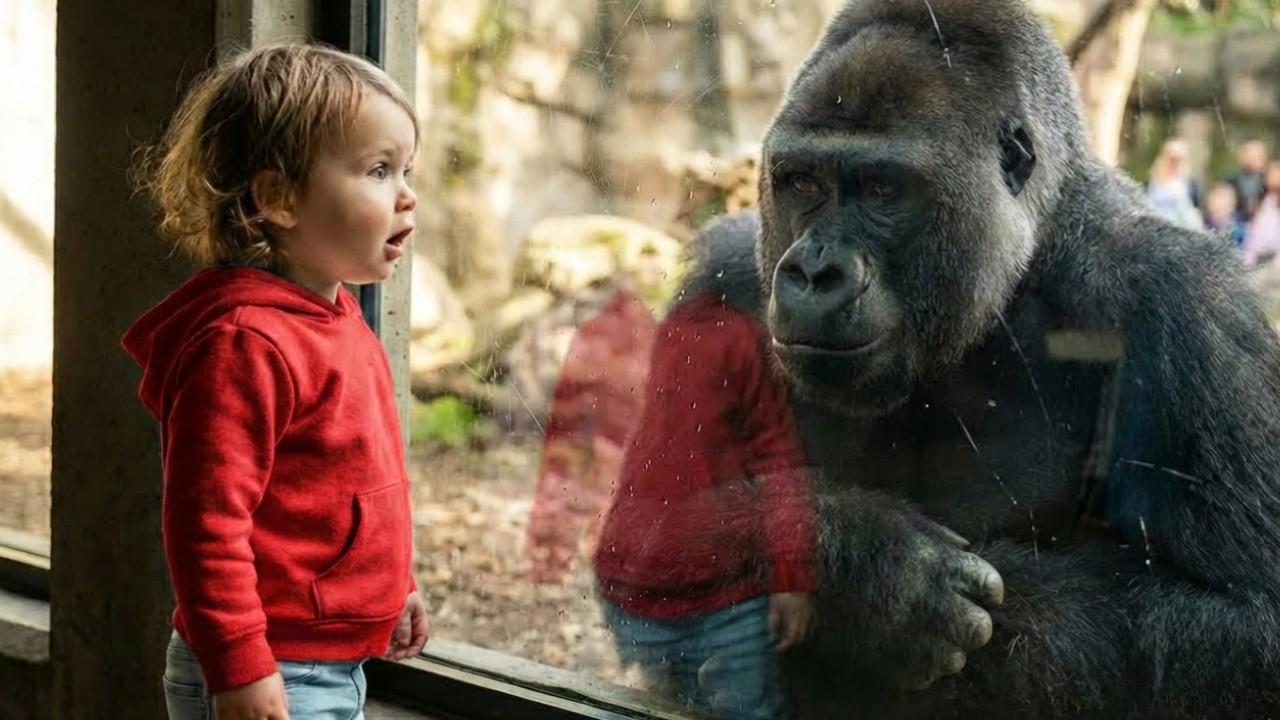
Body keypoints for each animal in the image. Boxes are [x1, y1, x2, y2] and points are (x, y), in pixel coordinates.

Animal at [677, 0, 1280, 717]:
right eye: (802, 182)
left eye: (882, 189)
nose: (813, 273)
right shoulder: (725, 283)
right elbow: (648, 529)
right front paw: (872, 576)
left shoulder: (1191, 306)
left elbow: (1250, 622)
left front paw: (877, 595)